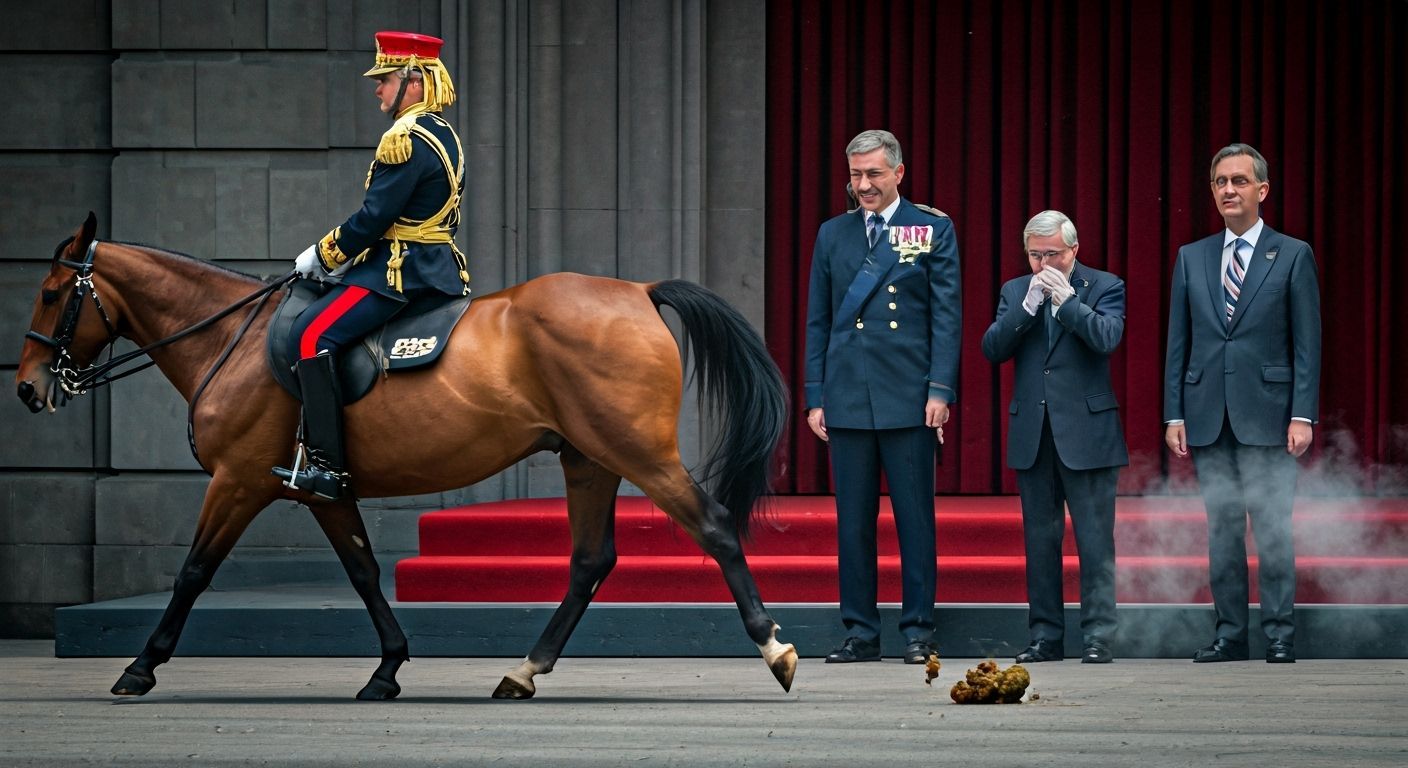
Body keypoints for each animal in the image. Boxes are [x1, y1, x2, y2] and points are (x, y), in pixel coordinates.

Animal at [15, 213, 796, 700]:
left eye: (52, 293)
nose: (27, 387)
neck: (230, 339)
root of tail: (636, 290)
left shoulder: (237, 482)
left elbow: (193, 573)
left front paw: (141, 665)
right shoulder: (319, 488)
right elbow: (363, 572)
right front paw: (387, 668)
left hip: (637, 452)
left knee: (714, 527)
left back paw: (773, 647)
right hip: (589, 458)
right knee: (589, 562)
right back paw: (524, 670)